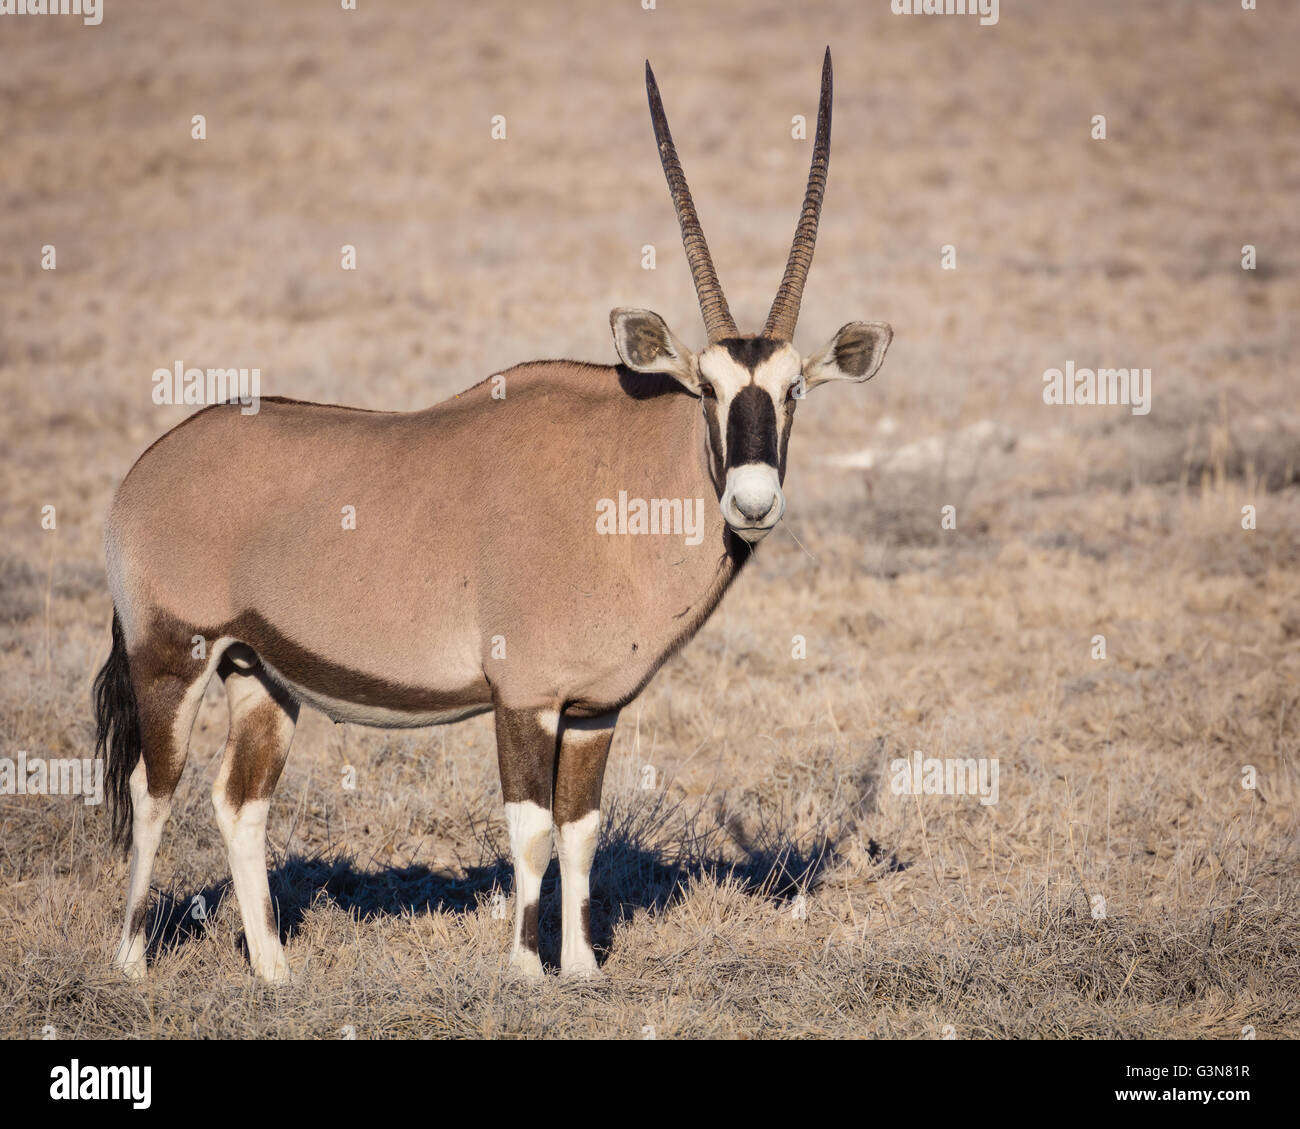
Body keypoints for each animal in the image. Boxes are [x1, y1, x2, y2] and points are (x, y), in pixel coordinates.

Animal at [94, 48, 894, 972]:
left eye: (795, 389)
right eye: (707, 389)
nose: (753, 499)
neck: (621, 479)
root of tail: (145, 470)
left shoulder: (592, 709)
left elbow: (581, 832)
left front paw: (581, 967)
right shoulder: (524, 697)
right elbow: (532, 831)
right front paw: (524, 969)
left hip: (257, 672)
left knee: (239, 802)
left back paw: (275, 973)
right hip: (171, 656)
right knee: (153, 792)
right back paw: (132, 962)